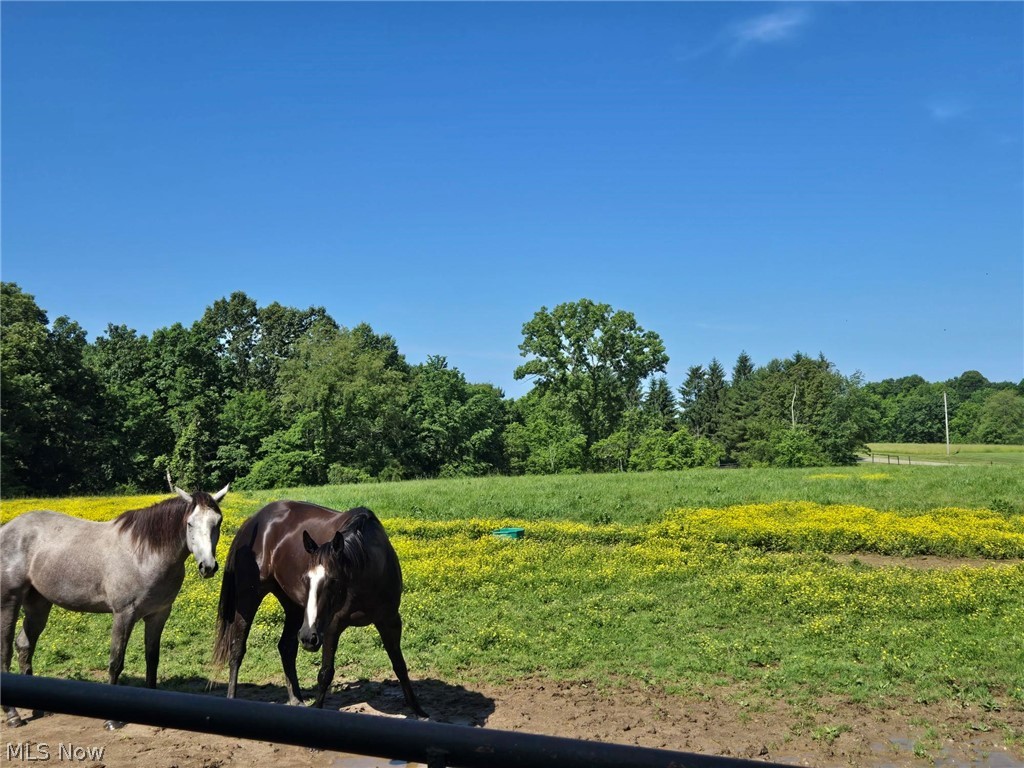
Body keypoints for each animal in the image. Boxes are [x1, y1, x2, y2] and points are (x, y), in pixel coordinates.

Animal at [0, 476, 228, 728]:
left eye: (217, 521)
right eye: (189, 523)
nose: (208, 567)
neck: (143, 555)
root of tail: (8, 528)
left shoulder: (158, 615)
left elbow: (152, 659)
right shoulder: (124, 614)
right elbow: (116, 661)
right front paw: (112, 721)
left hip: (38, 604)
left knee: (24, 645)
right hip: (9, 601)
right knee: (6, 649)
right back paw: (12, 715)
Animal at [212, 501, 426, 717]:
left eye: (334, 581)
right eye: (306, 579)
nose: (308, 637)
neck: (369, 570)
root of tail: (253, 521)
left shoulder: (389, 621)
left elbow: (400, 665)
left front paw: (418, 710)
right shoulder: (331, 626)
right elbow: (325, 673)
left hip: (294, 607)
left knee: (286, 648)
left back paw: (297, 700)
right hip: (249, 599)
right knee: (237, 649)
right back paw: (232, 697)